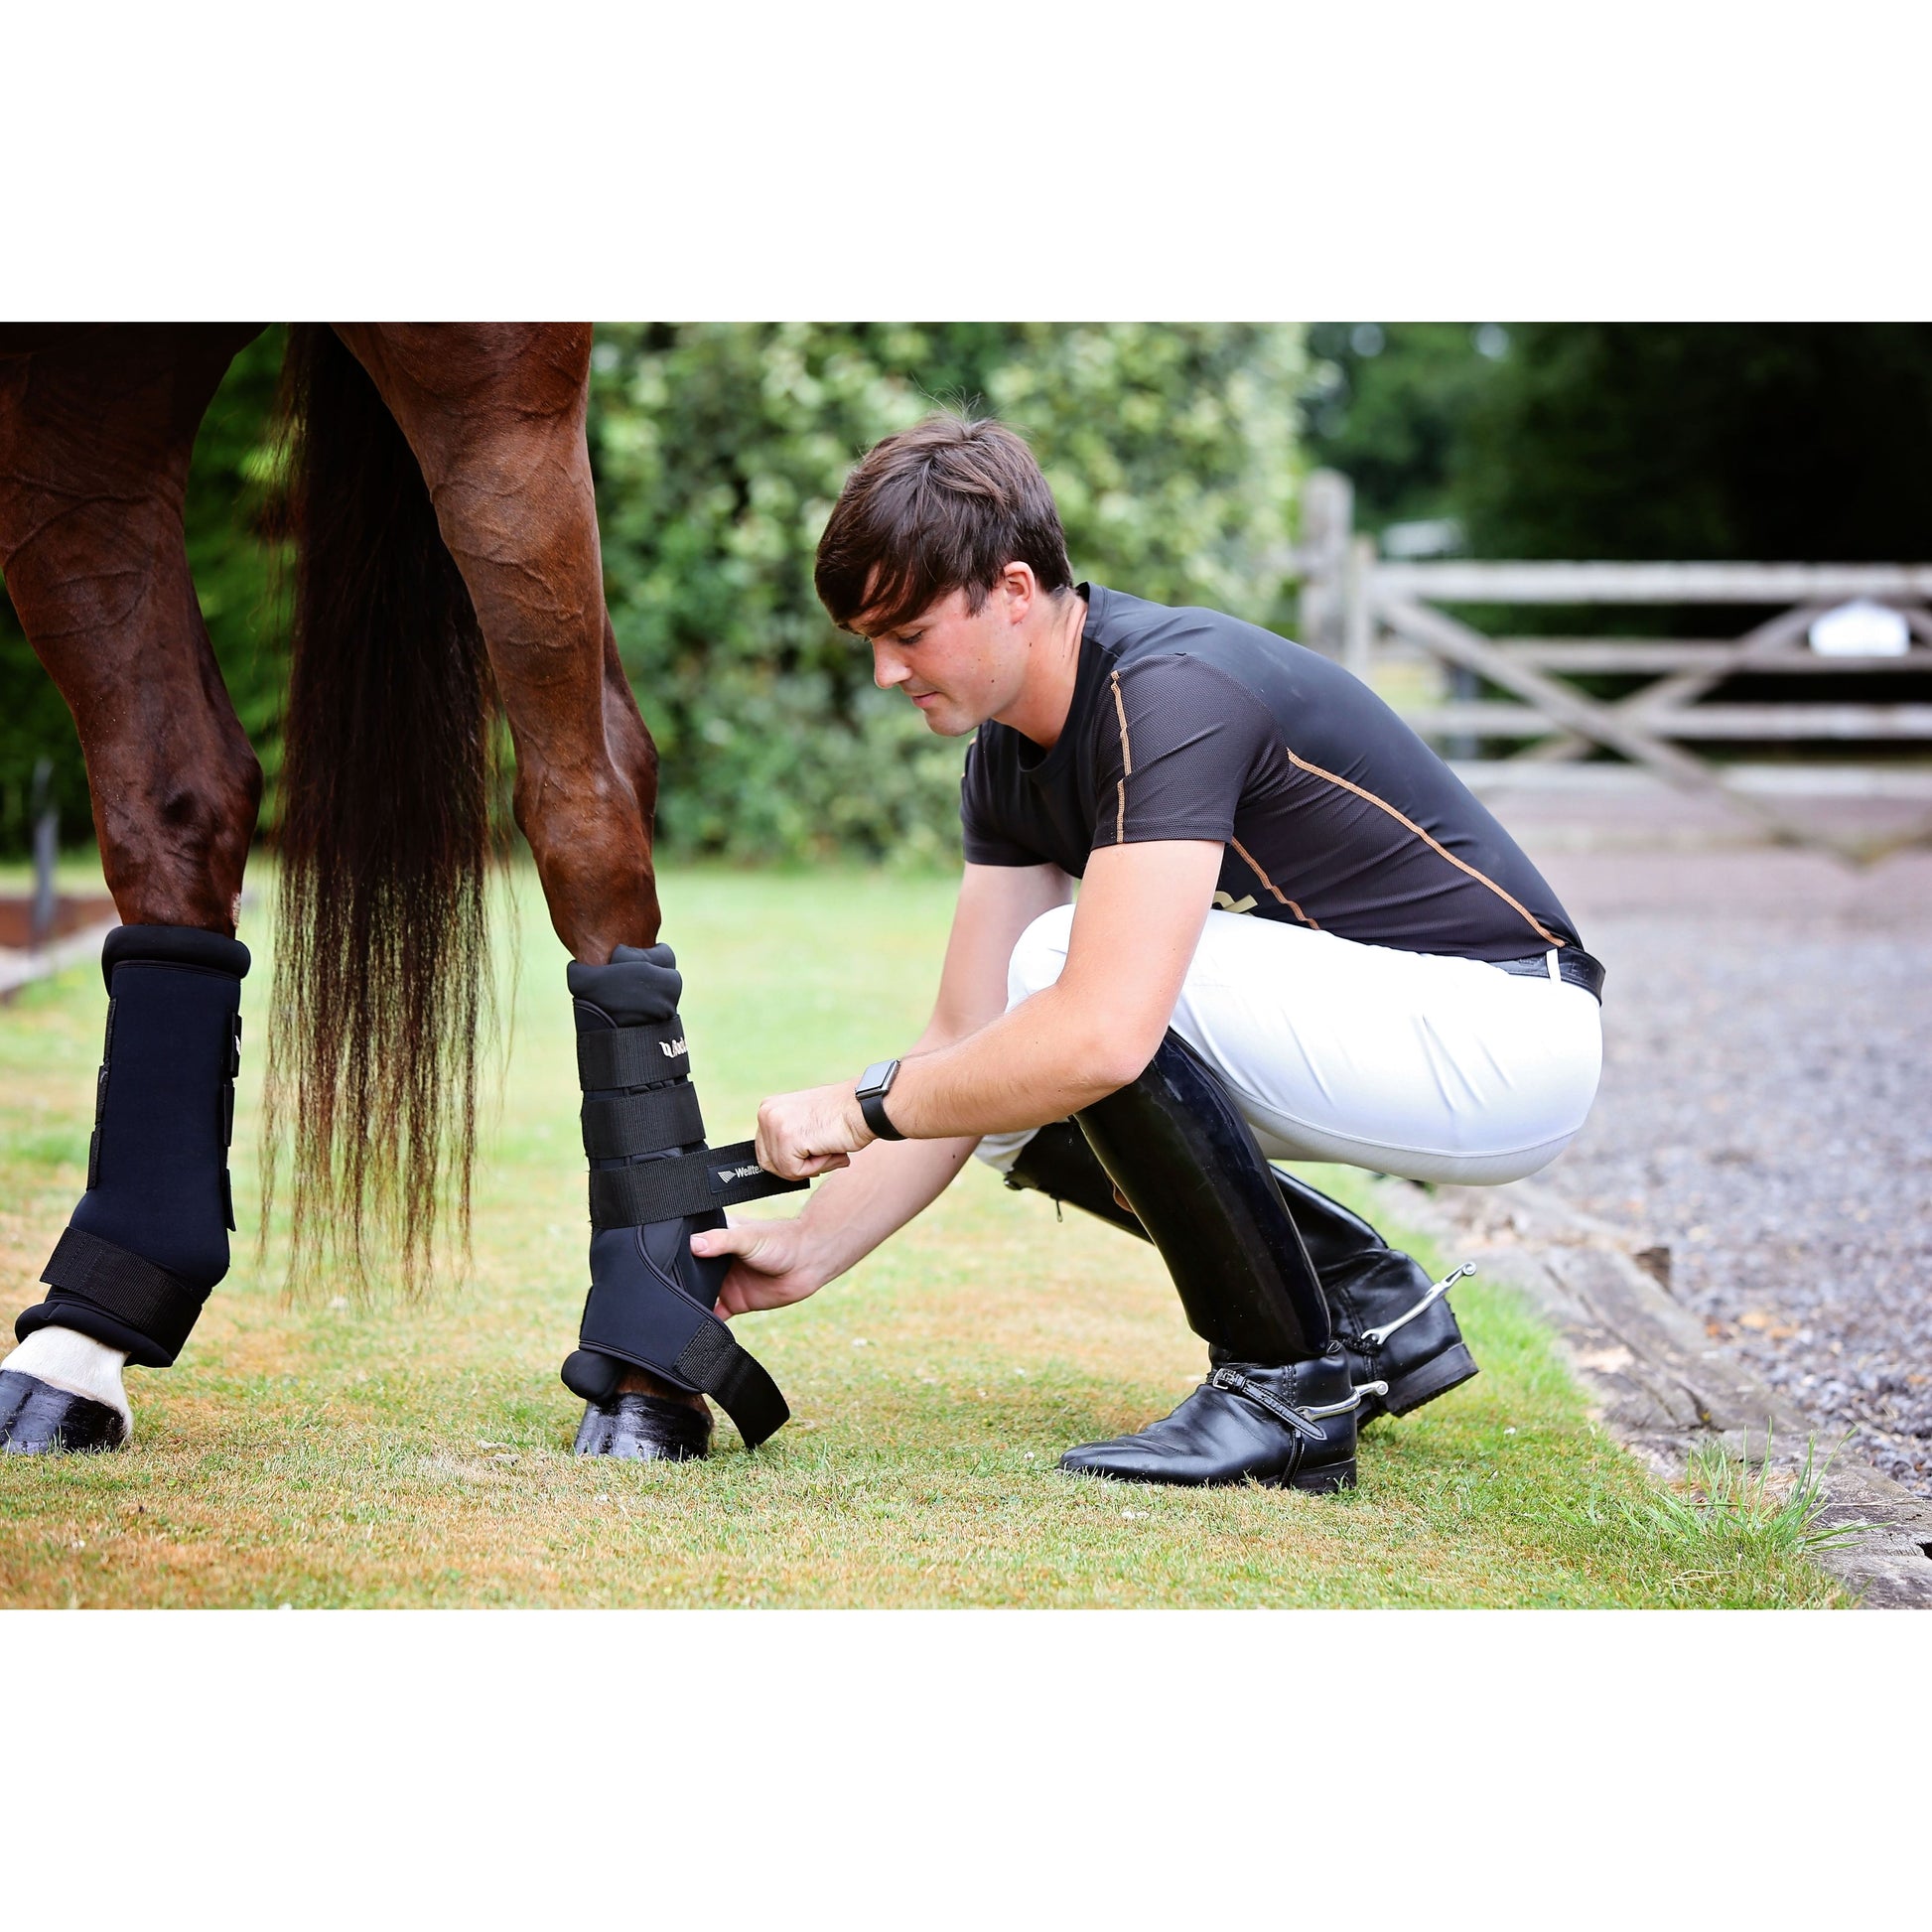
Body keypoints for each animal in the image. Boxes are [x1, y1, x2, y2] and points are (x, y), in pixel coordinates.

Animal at [0, 324, 718, 1452]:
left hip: (485, 388)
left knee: (589, 791)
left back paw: (650, 1366)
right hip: (87, 410)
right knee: (175, 789)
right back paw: (75, 1346)